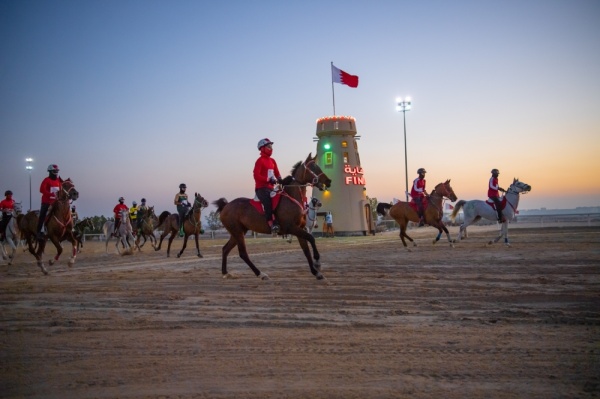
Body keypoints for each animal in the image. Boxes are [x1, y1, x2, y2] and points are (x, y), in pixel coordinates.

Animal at [212, 153, 332, 282]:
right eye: (314, 167)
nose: (328, 181)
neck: (292, 197)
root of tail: (226, 206)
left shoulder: (299, 229)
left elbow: (306, 250)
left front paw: (316, 272)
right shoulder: (292, 228)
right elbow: (311, 238)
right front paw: (317, 262)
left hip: (238, 232)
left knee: (225, 249)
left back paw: (225, 272)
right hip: (238, 232)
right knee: (243, 253)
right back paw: (260, 274)